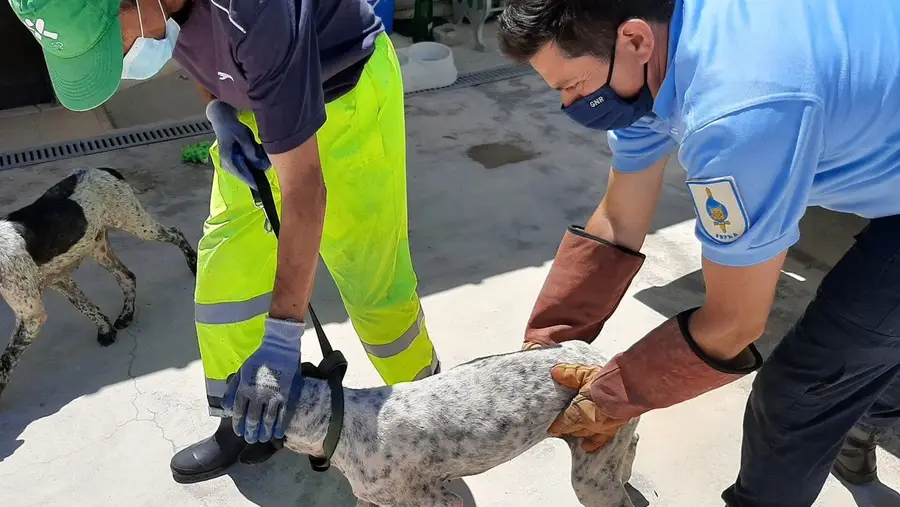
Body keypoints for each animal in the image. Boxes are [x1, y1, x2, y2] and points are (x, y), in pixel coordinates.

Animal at [0, 169, 196, 402]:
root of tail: (103, 169)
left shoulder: (32, 315)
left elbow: (6, 359)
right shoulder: (59, 279)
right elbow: (87, 307)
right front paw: (106, 329)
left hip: (138, 225)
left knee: (175, 232)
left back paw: (194, 262)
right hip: (99, 248)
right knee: (127, 277)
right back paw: (126, 314)